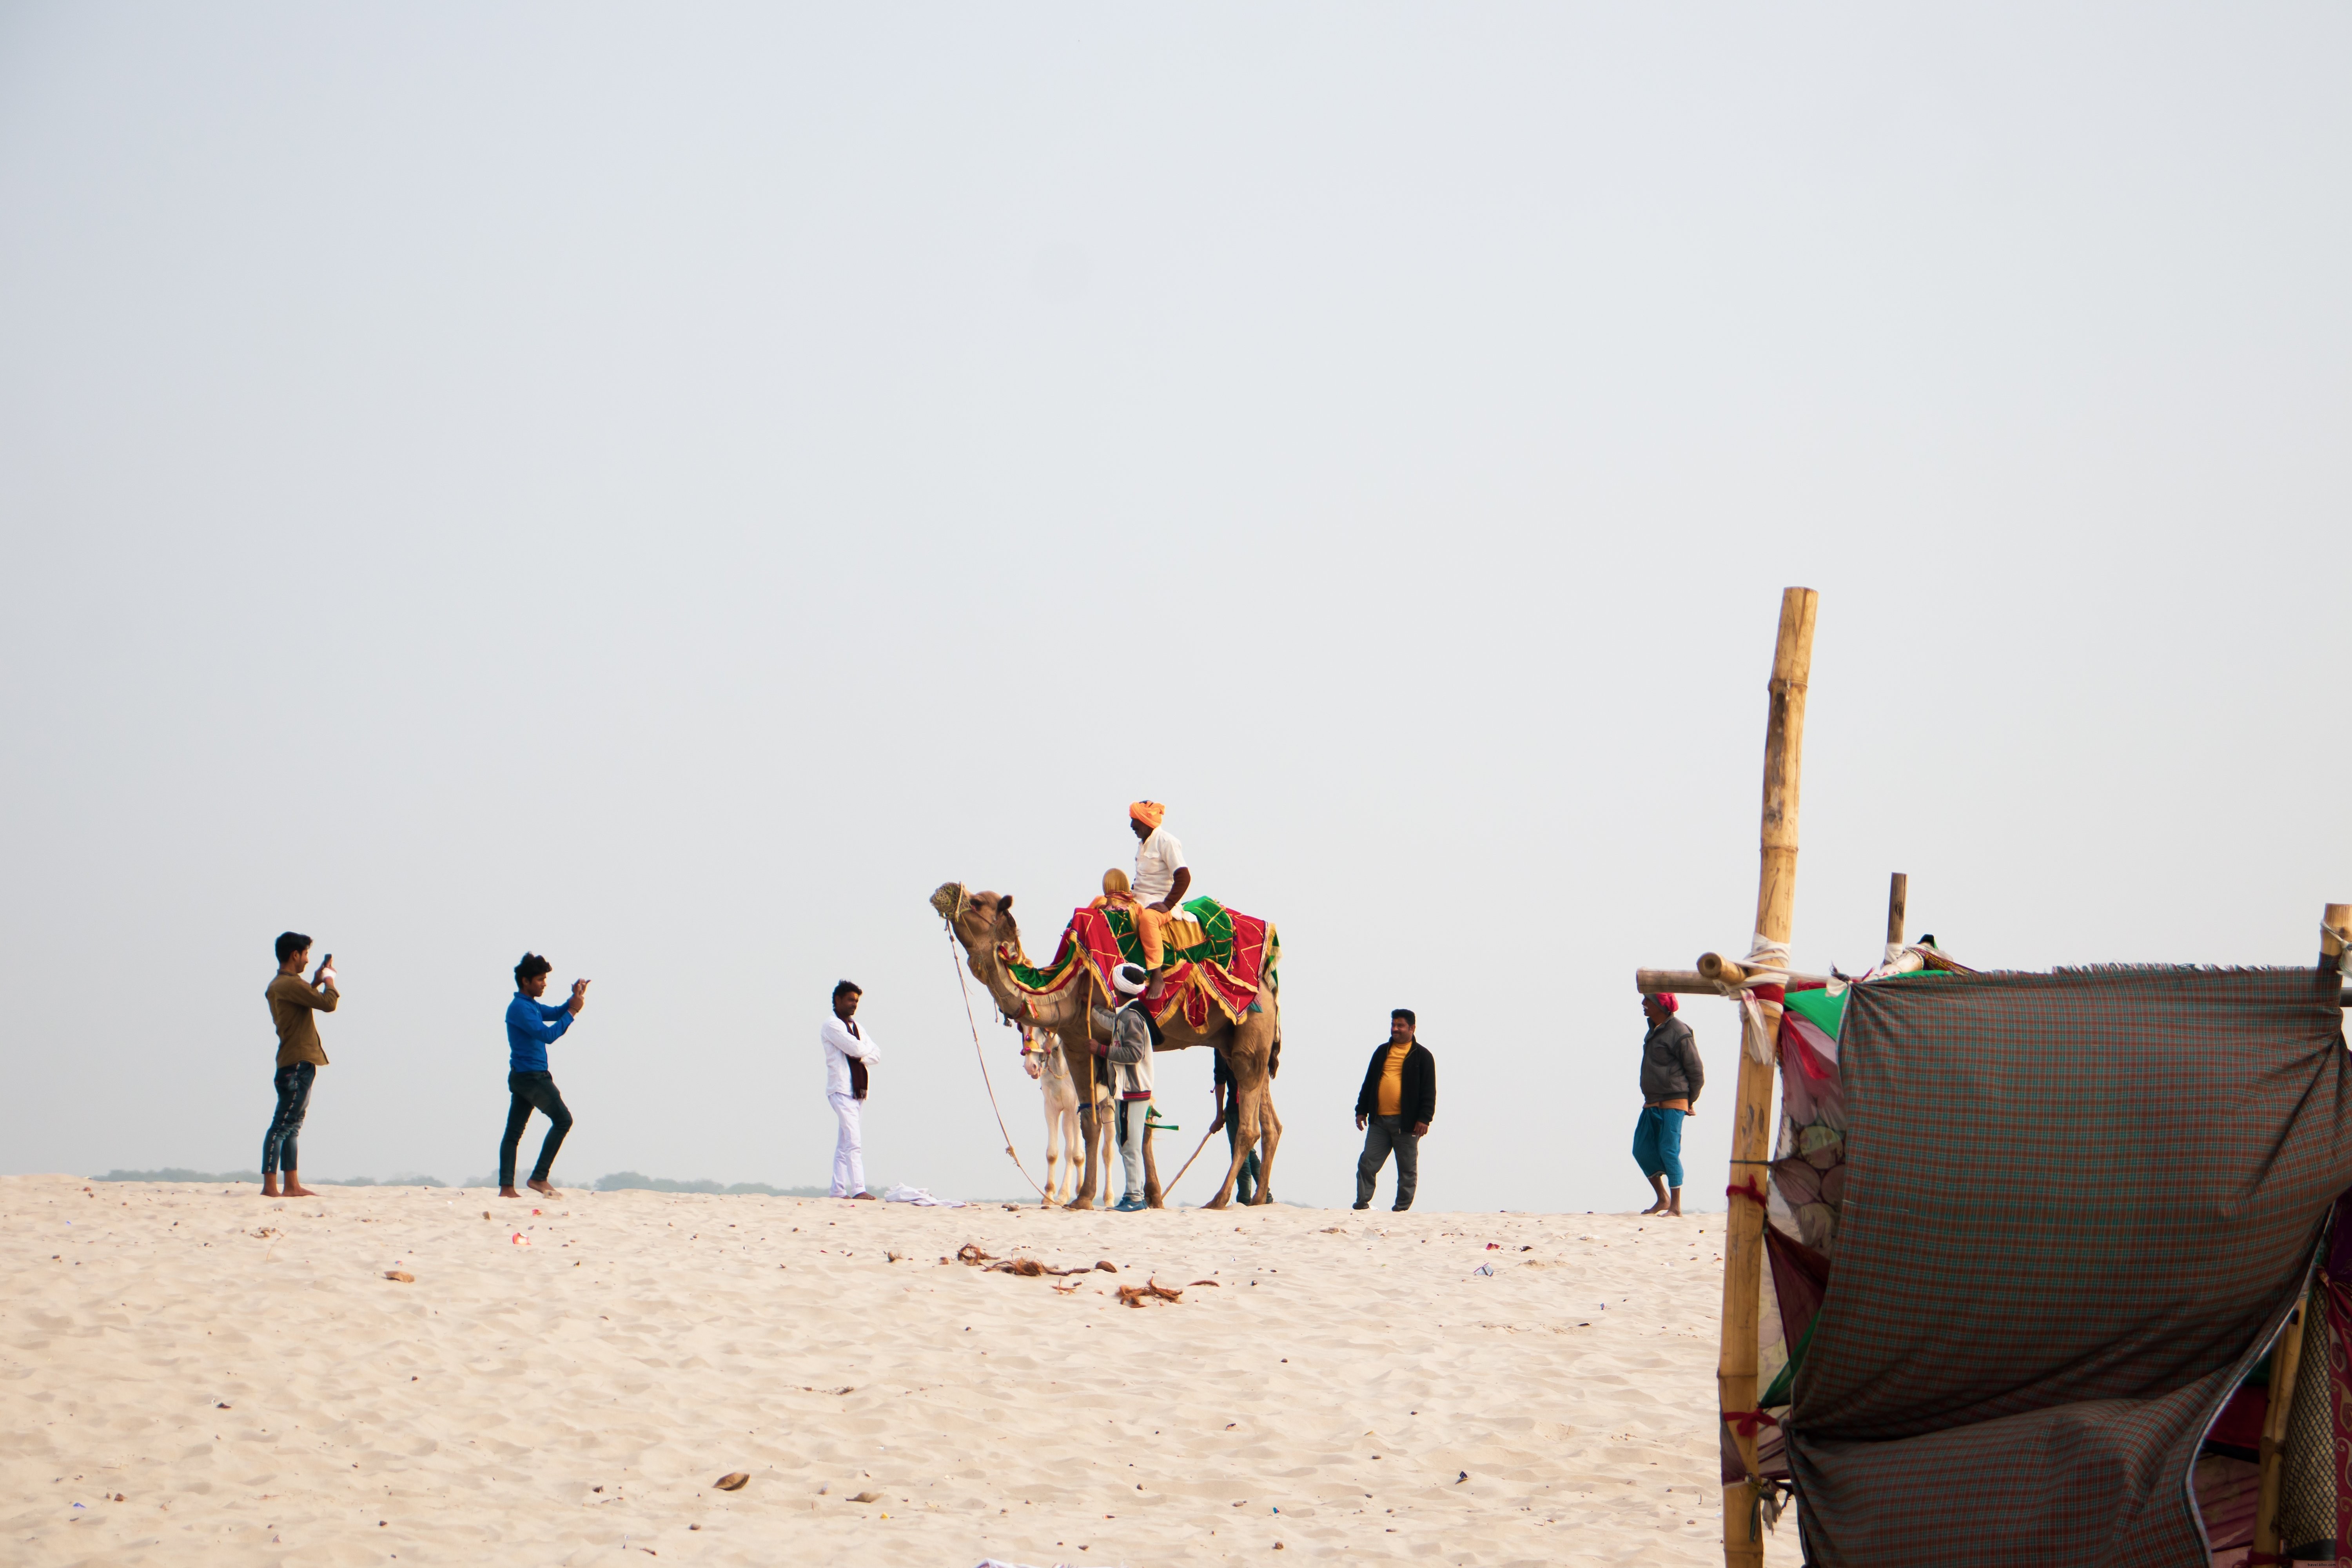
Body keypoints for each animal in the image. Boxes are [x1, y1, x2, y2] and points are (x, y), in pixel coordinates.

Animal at [1021, 1025, 1091, 1213]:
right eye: (1021, 1028)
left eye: (1044, 1029)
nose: (1031, 1066)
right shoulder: (1051, 1107)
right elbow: (1053, 1153)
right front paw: (1049, 1196)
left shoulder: (1077, 1107)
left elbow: (1078, 1155)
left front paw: (1078, 1194)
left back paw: (1109, 1198)